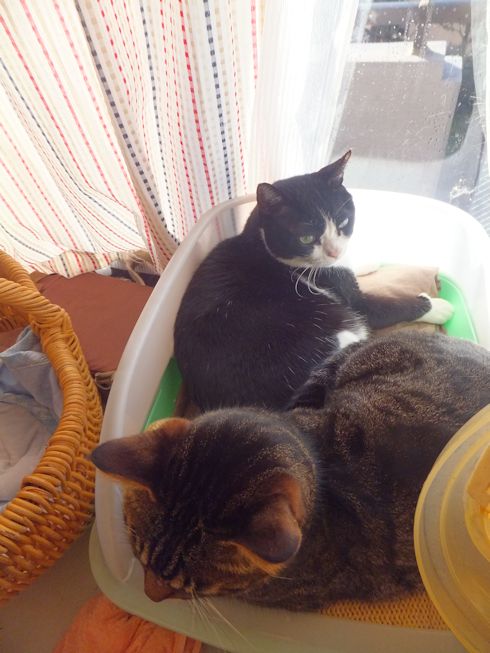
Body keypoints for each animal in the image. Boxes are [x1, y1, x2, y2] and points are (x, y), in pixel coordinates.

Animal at [174, 151, 453, 411]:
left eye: (343, 222)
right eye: (306, 237)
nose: (334, 252)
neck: (262, 244)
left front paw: (369, 260)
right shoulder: (352, 300)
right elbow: (385, 307)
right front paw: (438, 306)